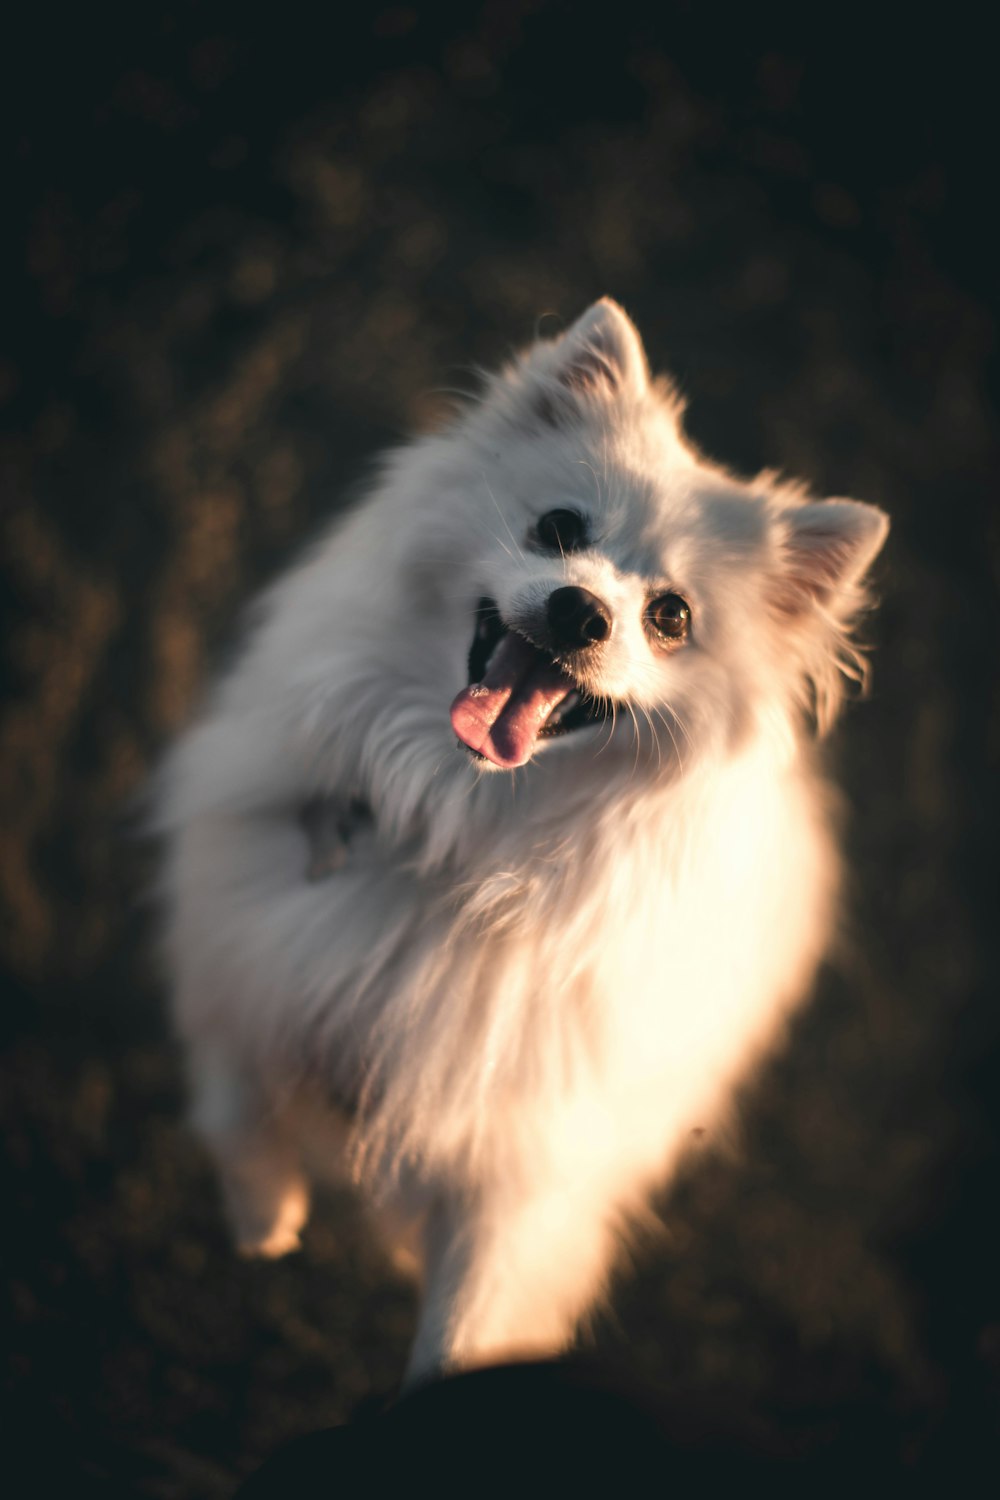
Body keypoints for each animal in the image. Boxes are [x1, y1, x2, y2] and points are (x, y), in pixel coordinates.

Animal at [158, 298, 893, 1386]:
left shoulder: (515, 1184)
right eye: (559, 529)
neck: (460, 831)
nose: (581, 608)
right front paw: (265, 1216)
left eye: (670, 617)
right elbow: (237, 1091)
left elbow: (462, 1335)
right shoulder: (246, 956)